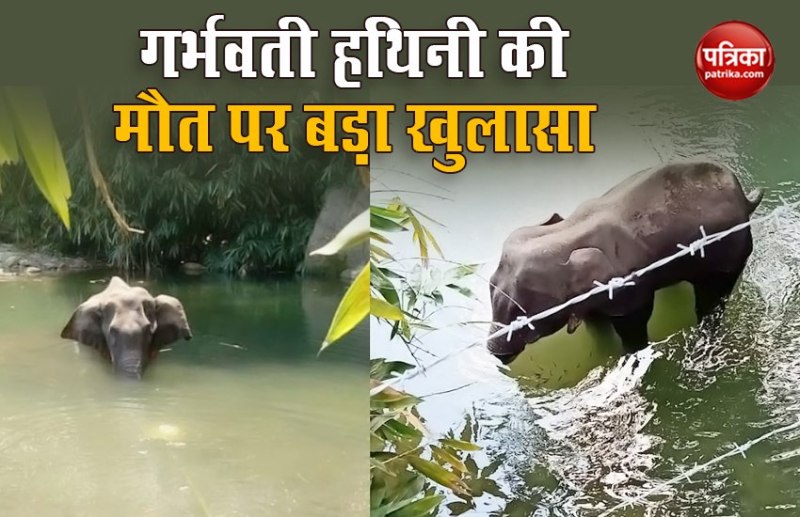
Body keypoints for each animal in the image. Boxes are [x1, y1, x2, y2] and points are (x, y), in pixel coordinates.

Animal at [488, 162, 764, 364]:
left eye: (526, 316)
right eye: (491, 285)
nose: (495, 352)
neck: (569, 232)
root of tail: (746, 200)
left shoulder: (628, 289)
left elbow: (634, 324)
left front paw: (629, 356)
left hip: (730, 254)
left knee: (711, 301)